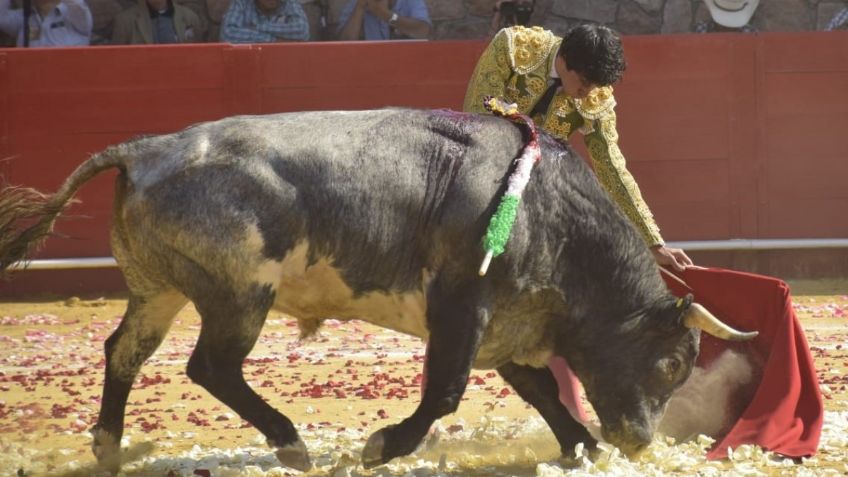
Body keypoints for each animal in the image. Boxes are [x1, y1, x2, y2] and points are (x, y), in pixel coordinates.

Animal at [0, 109, 756, 472]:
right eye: (672, 362)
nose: (638, 439)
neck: (550, 211)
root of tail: (145, 148)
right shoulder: (464, 305)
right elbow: (446, 391)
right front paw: (384, 445)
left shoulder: (507, 320)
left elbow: (538, 386)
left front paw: (581, 445)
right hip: (239, 293)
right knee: (210, 365)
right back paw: (289, 443)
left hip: (157, 288)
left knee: (124, 352)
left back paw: (107, 446)